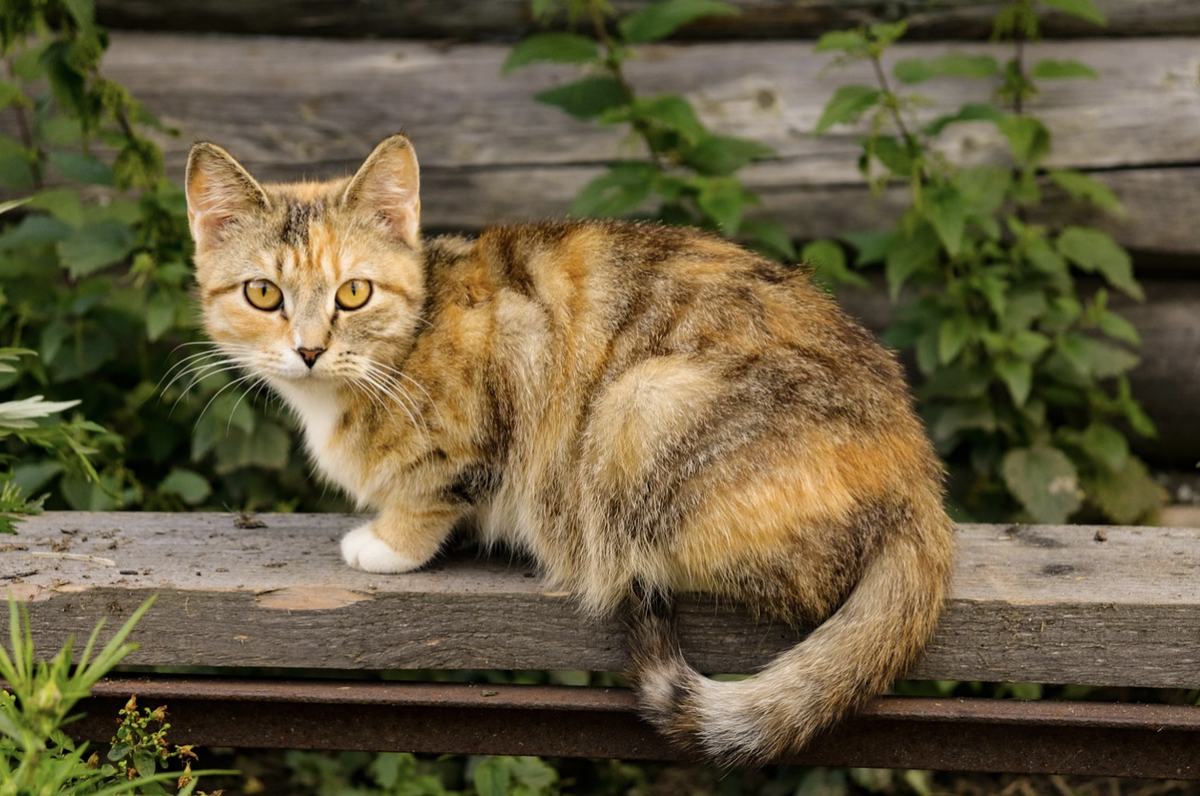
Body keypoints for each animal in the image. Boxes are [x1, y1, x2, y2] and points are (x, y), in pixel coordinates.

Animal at [184, 135, 955, 768]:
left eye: (353, 292)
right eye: (263, 293)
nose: (310, 350)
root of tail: (920, 487)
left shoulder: (507, 366)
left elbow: (434, 488)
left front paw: (390, 542)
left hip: (638, 404)